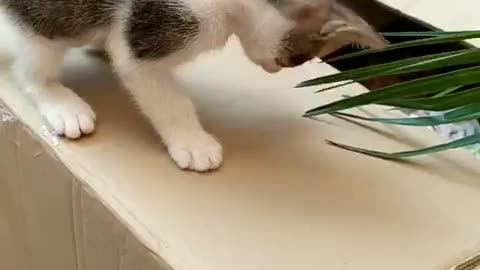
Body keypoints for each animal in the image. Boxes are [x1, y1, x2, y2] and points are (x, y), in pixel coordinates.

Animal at [0, 0, 384, 172]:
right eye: (297, 59)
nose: (275, 70)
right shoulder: (152, 30)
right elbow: (165, 96)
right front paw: (192, 142)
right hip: (41, 20)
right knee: (31, 68)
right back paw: (60, 101)